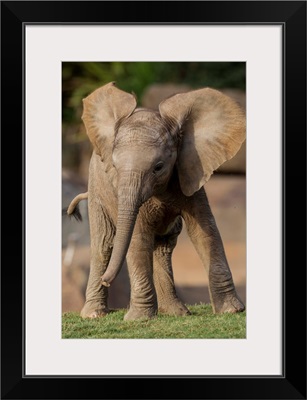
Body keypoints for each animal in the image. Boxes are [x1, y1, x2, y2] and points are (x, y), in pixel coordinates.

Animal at [66, 82, 247, 322]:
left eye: (159, 167)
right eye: (114, 167)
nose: (107, 279)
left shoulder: (190, 172)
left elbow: (205, 232)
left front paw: (231, 310)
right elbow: (137, 238)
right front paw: (139, 319)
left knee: (163, 246)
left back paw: (175, 312)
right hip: (96, 189)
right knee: (103, 245)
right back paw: (94, 315)